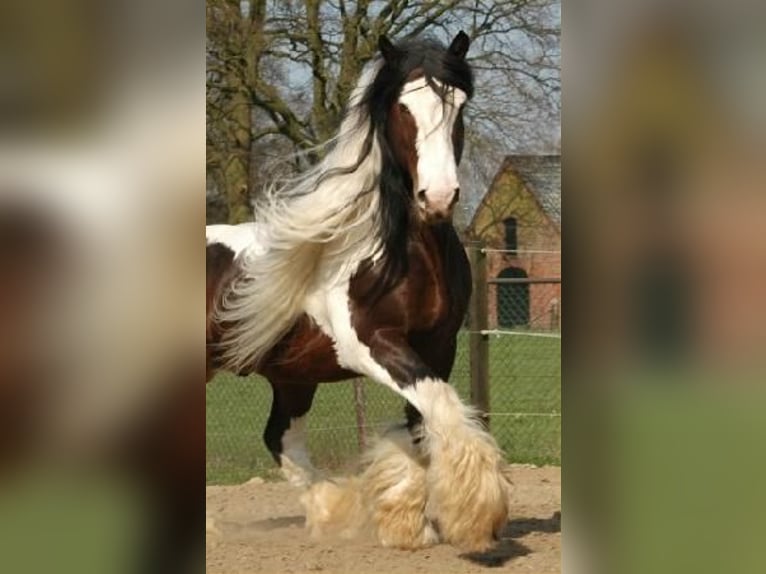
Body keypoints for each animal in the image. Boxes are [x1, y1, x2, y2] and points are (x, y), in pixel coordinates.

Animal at [206, 32, 509, 551]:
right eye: (403, 108)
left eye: (458, 105)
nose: (439, 198)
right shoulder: (370, 343)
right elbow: (441, 405)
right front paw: (476, 515)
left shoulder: (438, 345)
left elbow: (423, 421)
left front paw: (407, 523)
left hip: (293, 378)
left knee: (279, 436)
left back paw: (331, 511)